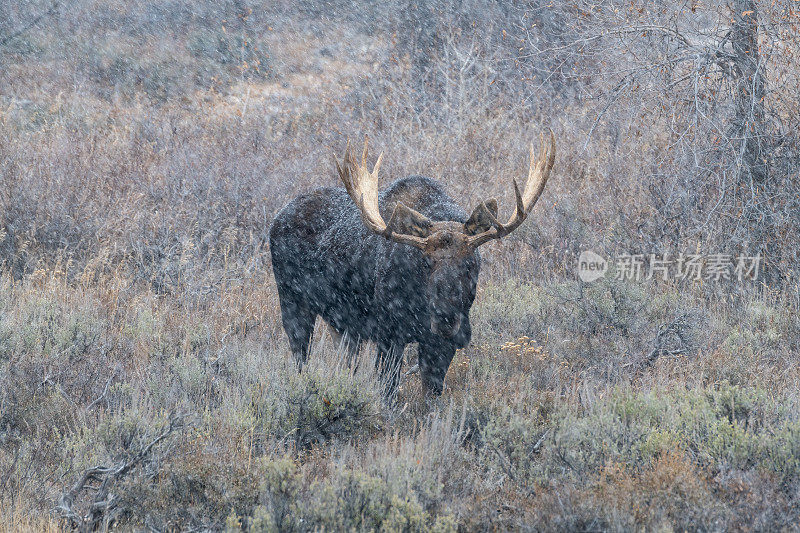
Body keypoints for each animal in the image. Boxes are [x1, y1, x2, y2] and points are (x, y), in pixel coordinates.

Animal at [268, 133, 556, 396]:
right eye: (425, 262)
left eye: (471, 263)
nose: (446, 319)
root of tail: (277, 218)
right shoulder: (388, 335)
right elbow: (388, 391)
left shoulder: (440, 344)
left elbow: (432, 396)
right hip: (292, 301)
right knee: (300, 358)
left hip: (342, 323)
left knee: (345, 361)